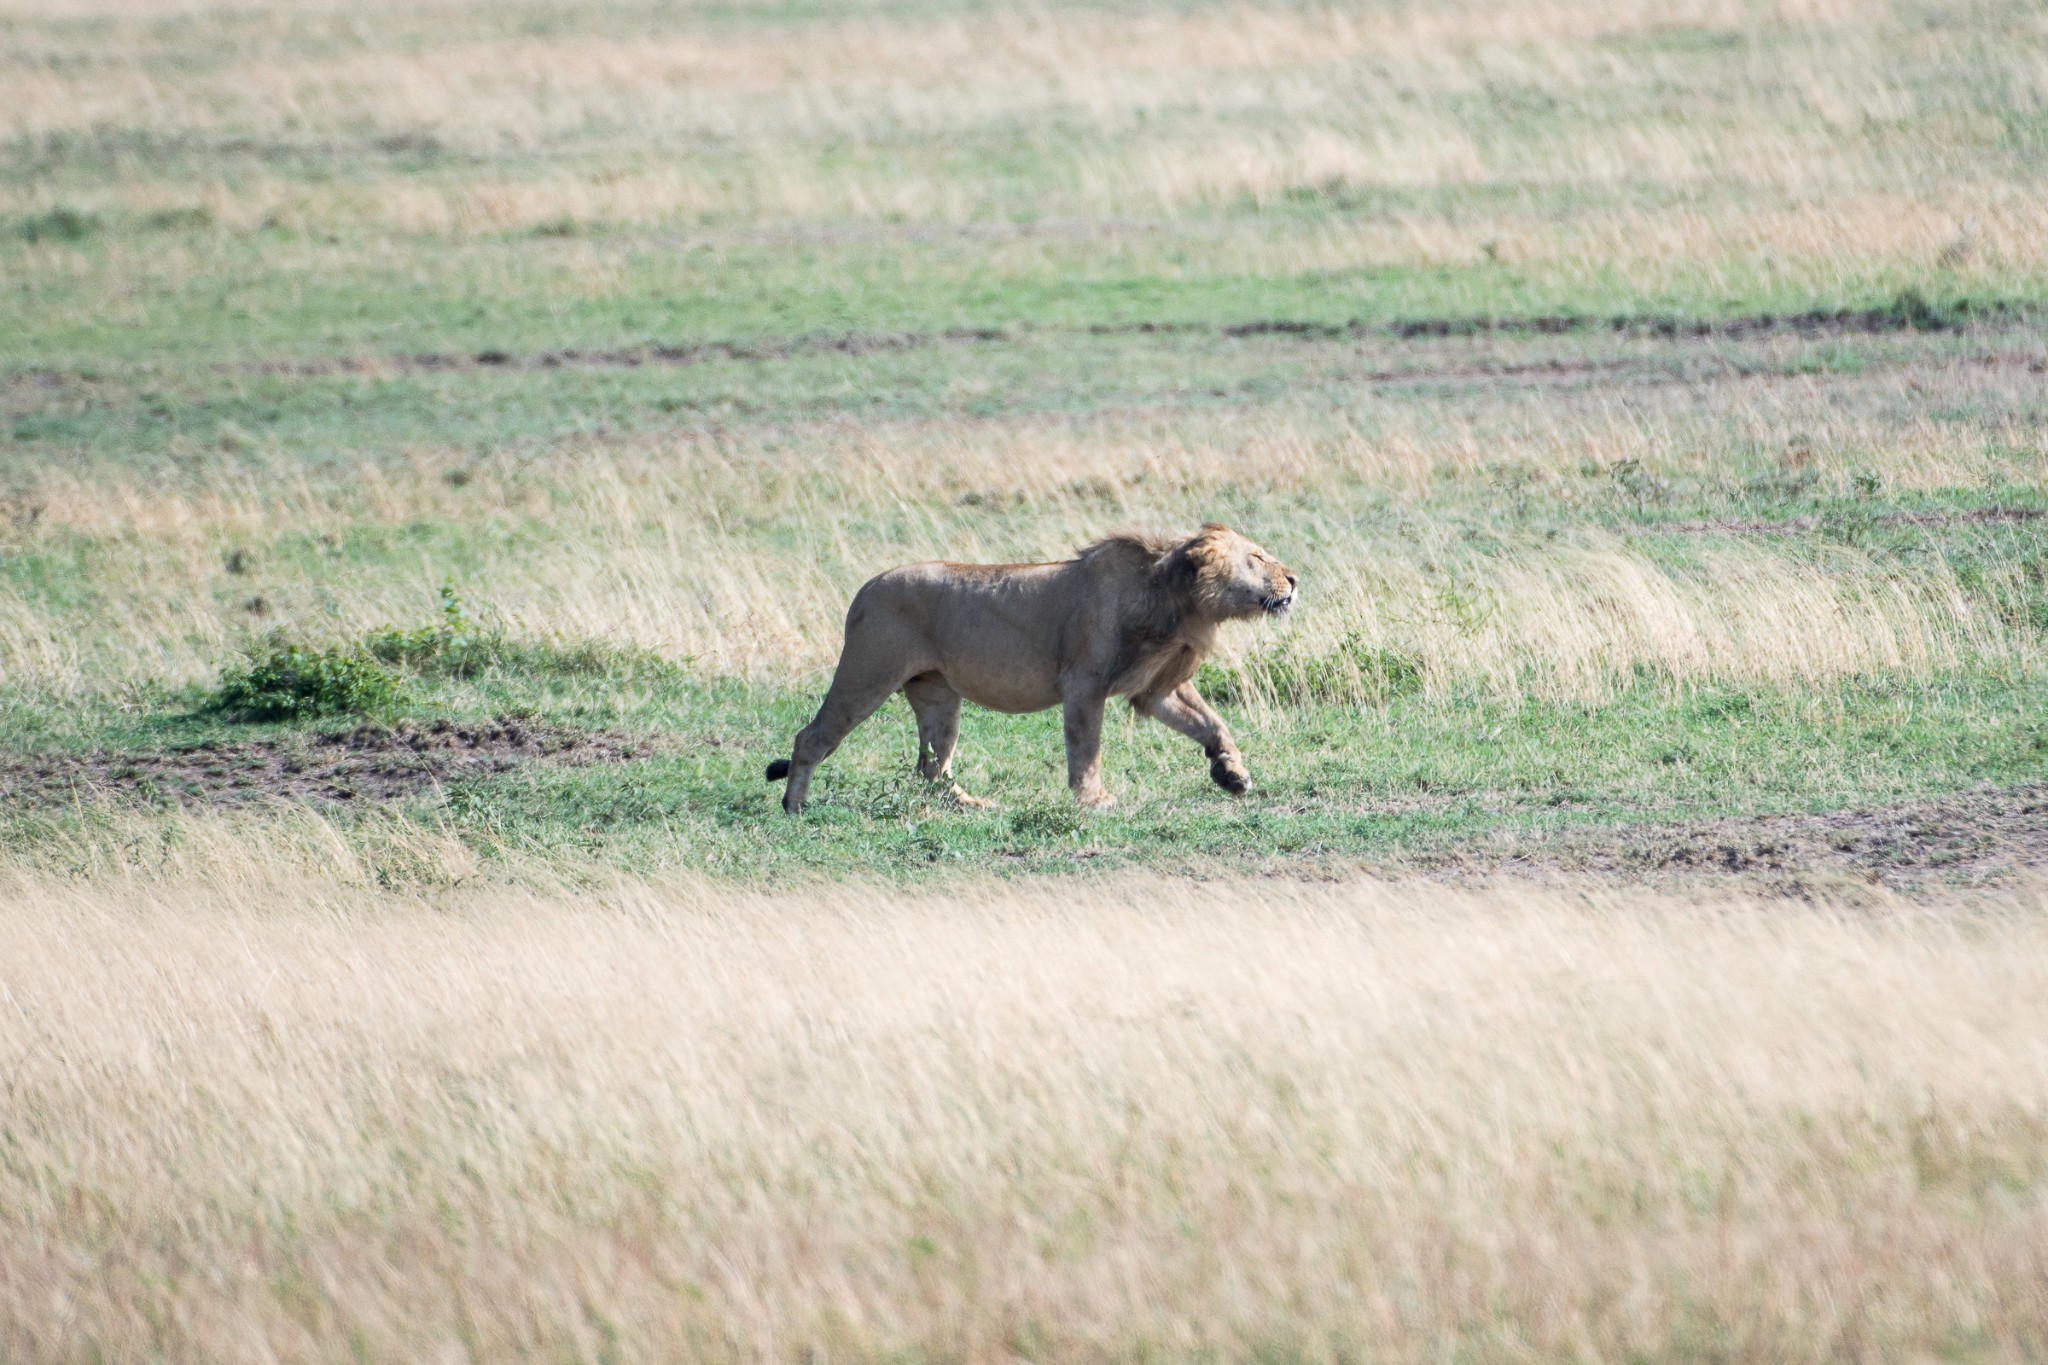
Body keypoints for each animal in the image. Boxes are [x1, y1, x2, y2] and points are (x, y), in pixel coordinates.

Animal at [770, 523, 1294, 810]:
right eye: (1257, 557)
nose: (1293, 578)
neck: (1177, 602)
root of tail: (865, 587)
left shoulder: (1156, 688)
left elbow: (1213, 723)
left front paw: (1231, 774)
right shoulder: (1083, 684)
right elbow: (1086, 748)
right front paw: (1093, 800)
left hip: (938, 696)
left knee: (932, 768)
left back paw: (974, 805)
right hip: (867, 674)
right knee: (810, 738)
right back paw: (795, 806)